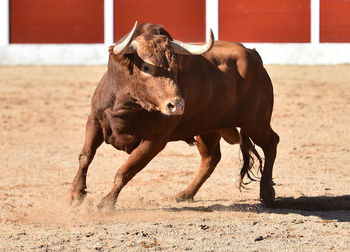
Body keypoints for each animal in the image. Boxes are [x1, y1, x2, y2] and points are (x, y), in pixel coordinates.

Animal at [69, 21, 280, 210]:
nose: (177, 105)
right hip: (207, 128)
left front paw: (106, 203)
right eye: (147, 67)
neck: (128, 105)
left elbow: (126, 170)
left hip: (255, 122)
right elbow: (85, 156)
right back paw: (185, 194)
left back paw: (267, 193)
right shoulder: (95, 120)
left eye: (176, 68)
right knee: (211, 157)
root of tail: (253, 54)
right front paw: (76, 195)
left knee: (271, 142)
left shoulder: (155, 141)